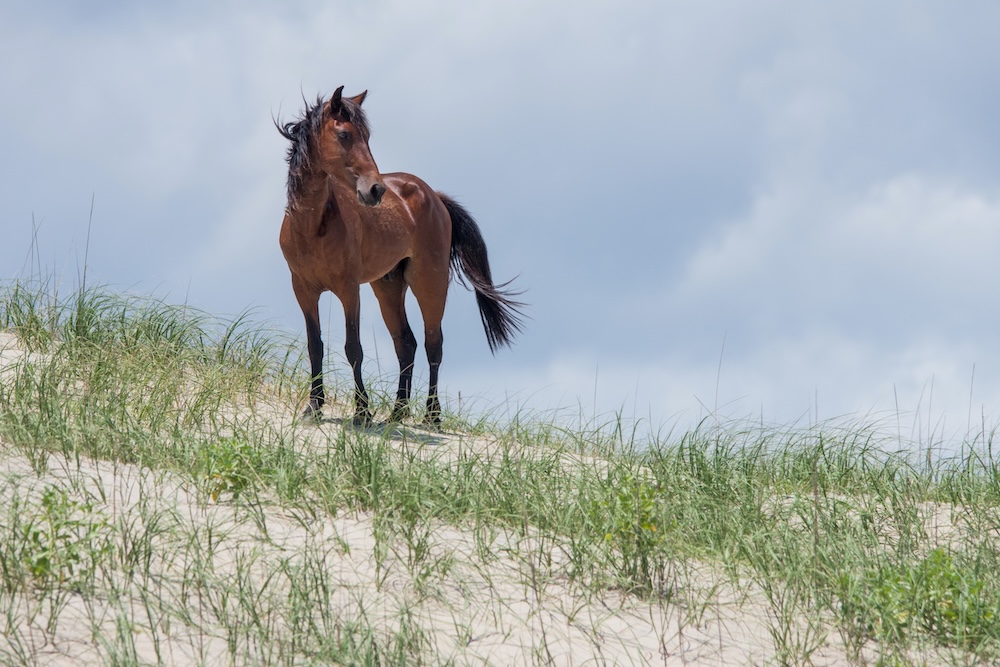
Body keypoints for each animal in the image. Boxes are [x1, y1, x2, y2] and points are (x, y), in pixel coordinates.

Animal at [277, 86, 524, 426]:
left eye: (367, 136)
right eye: (344, 135)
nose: (375, 190)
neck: (313, 226)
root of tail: (435, 197)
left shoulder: (348, 289)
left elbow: (353, 348)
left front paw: (362, 412)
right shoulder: (303, 289)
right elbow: (315, 345)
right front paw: (313, 406)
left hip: (429, 283)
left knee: (434, 344)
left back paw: (431, 415)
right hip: (388, 286)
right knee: (406, 343)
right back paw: (398, 411)